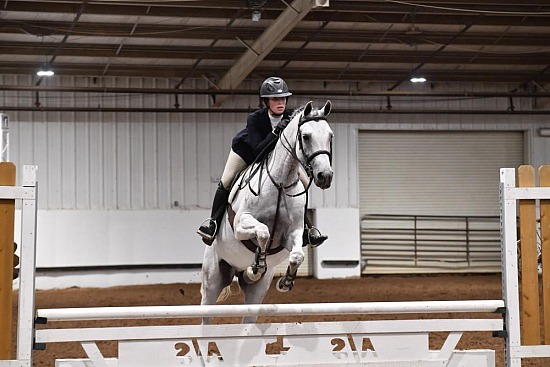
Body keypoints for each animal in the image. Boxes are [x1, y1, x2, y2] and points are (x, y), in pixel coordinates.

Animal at [201, 99, 334, 324]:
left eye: (330, 136)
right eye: (306, 136)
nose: (325, 176)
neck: (280, 183)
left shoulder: (292, 233)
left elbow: (297, 255)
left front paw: (285, 281)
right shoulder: (241, 225)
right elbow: (263, 231)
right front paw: (257, 264)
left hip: (257, 291)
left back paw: (248, 274)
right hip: (212, 279)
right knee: (206, 314)